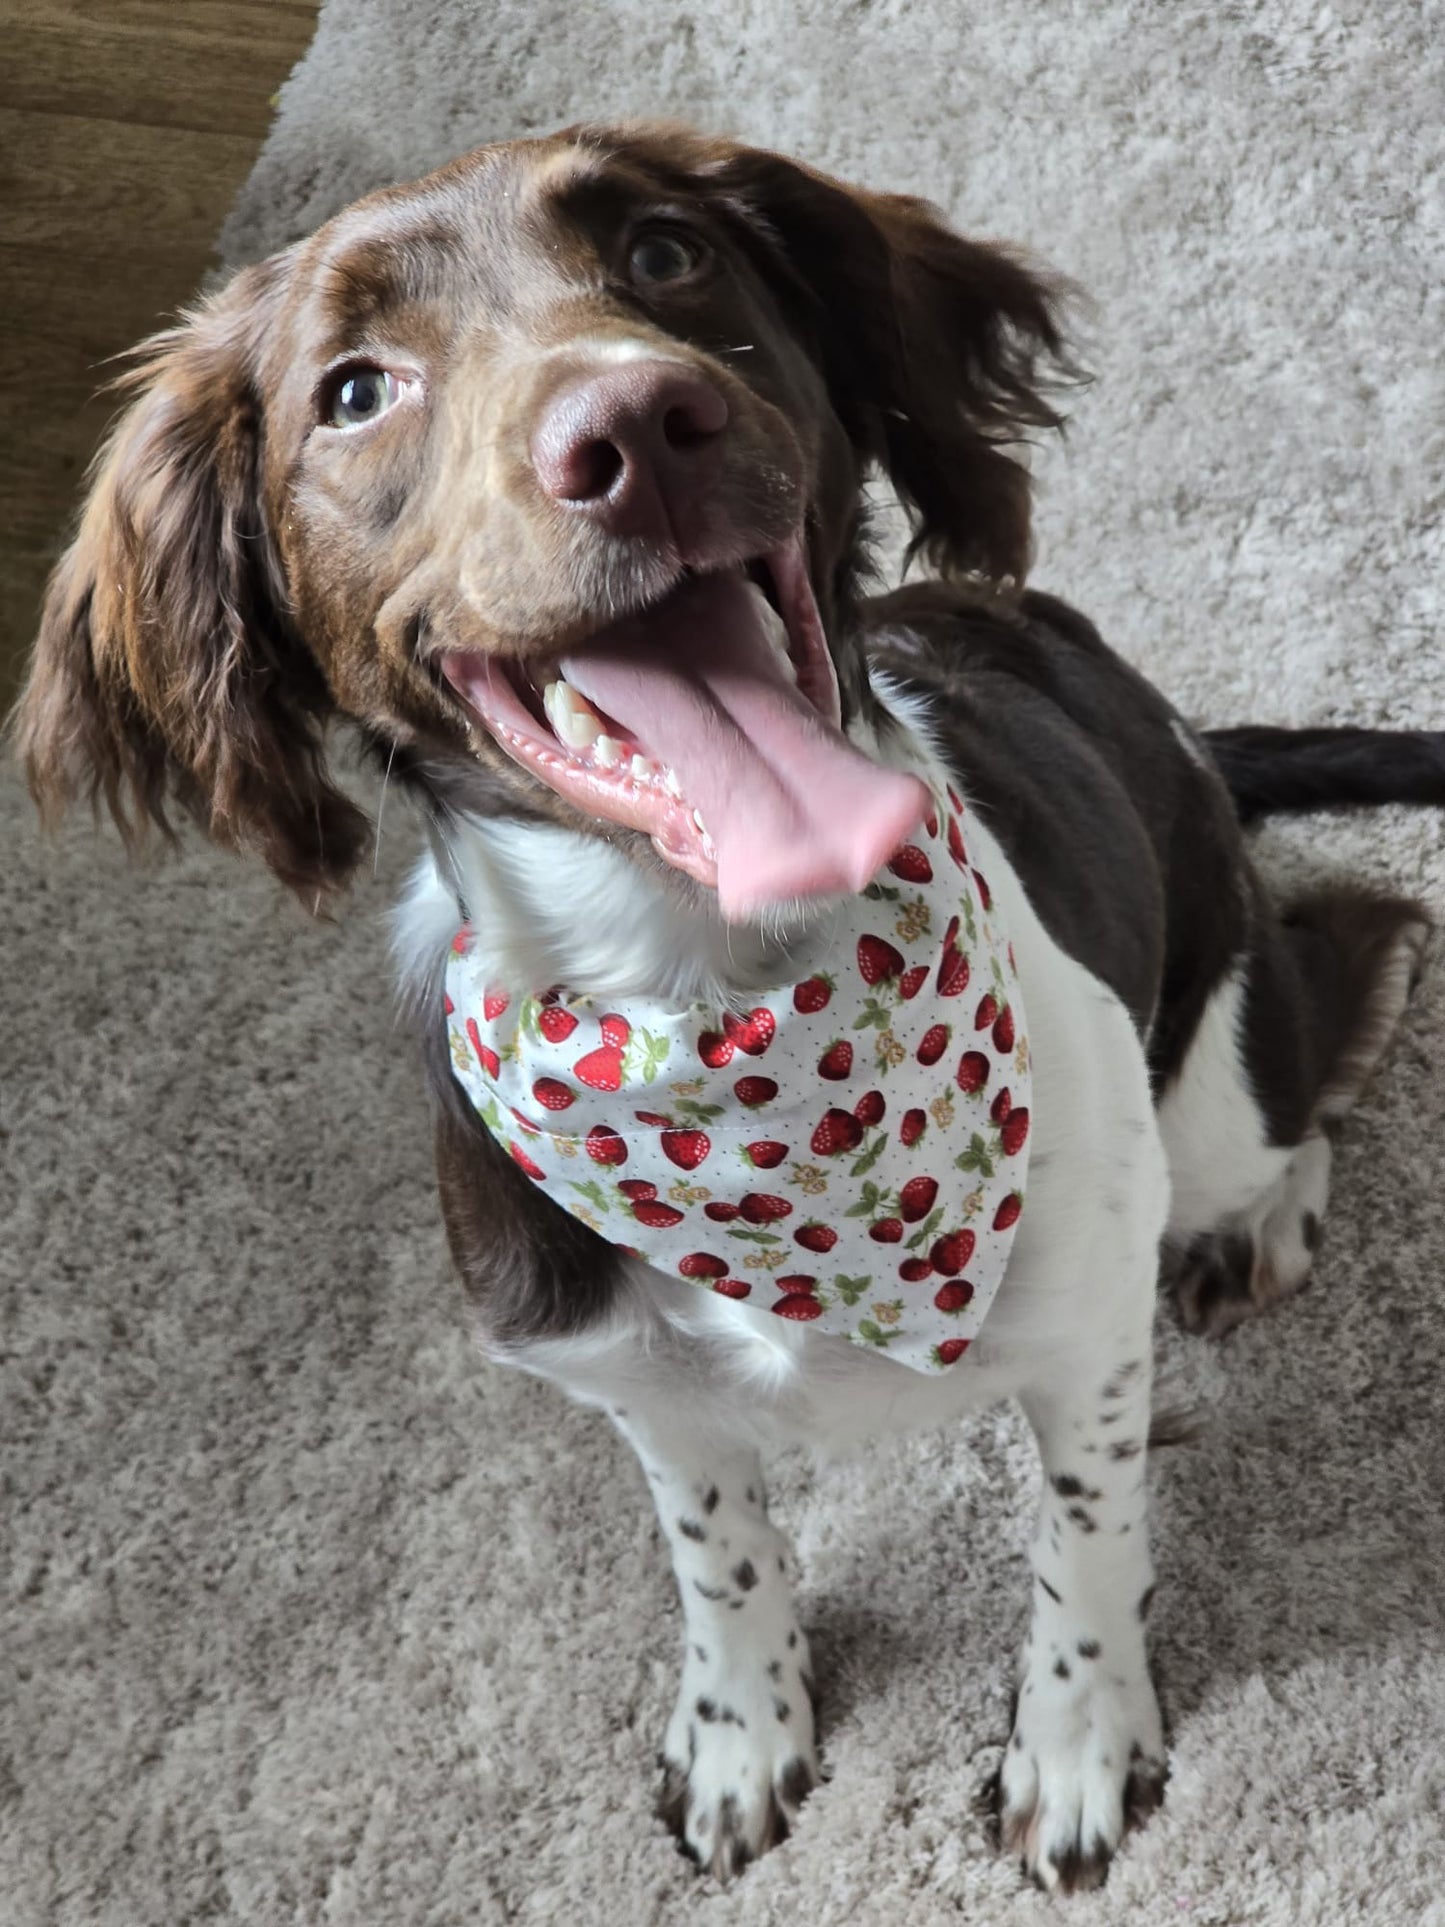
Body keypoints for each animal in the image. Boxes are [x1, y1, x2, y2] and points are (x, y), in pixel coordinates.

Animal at [14, 124, 1445, 1896]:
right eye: (354, 391)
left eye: (665, 253)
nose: (633, 427)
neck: (727, 1019)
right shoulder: (632, 1378)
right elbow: (720, 1551)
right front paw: (742, 1727)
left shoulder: (1084, 1334)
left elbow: (1084, 1544)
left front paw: (1076, 1740)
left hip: (1214, 1083)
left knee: (1344, 982)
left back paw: (1264, 1213)